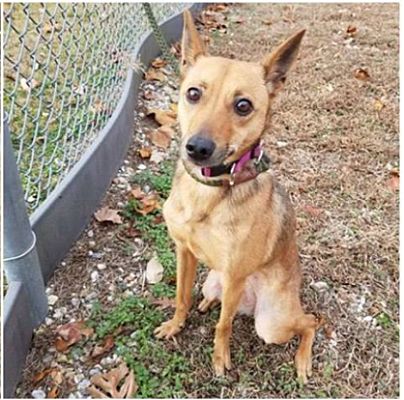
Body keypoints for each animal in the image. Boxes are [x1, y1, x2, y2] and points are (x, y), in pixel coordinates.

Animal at [154, 9, 316, 382]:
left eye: (243, 105)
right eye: (193, 93)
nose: (197, 148)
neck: (208, 193)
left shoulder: (235, 276)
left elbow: (222, 327)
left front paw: (219, 359)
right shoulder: (184, 252)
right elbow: (181, 296)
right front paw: (175, 325)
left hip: (272, 322)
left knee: (311, 322)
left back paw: (303, 361)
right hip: (214, 283)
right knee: (212, 299)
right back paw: (206, 302)